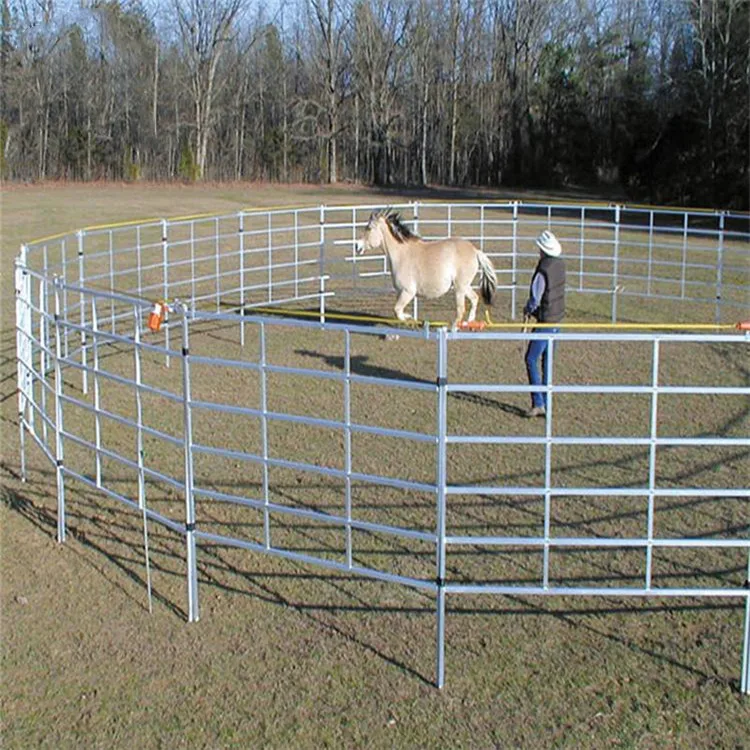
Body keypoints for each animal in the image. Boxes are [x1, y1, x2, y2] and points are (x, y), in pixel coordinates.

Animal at [356, 210, 497, 330]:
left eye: (369, 228)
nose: (357, 246)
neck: (401, 255)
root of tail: (475, 251)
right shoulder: (400, 292)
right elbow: (398, 311)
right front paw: (411, 319)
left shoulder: (408, 292)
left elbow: (397, 310)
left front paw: (410, 319)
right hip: (463, 286)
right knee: (474, 298)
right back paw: (469, 323)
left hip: (459, 288)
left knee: (461, 309)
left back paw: (453, 328)